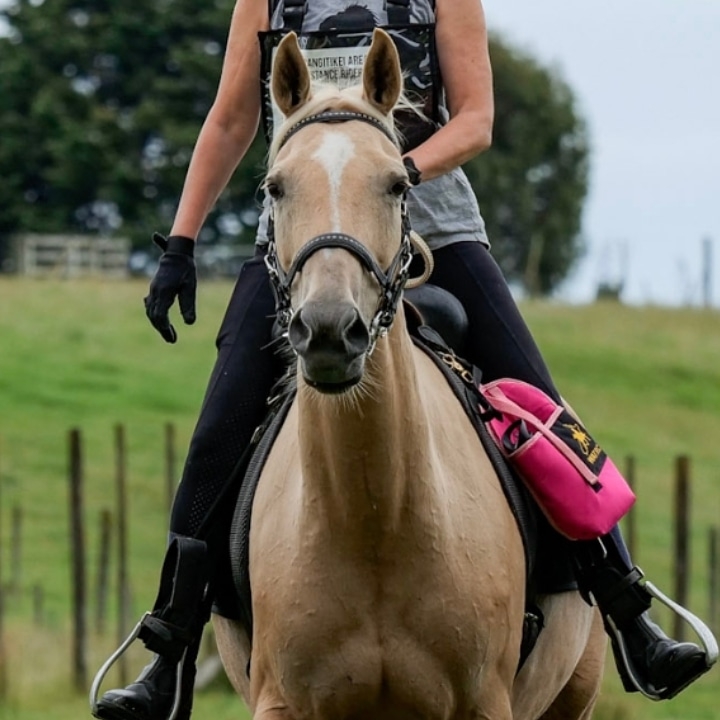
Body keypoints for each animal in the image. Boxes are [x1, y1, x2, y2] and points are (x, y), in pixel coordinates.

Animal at [214, 28, 608, 720]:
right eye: (274, 188)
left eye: (398, 184)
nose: (328, 330)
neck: (375, 517)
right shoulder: (281, 702)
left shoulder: (484, 702)